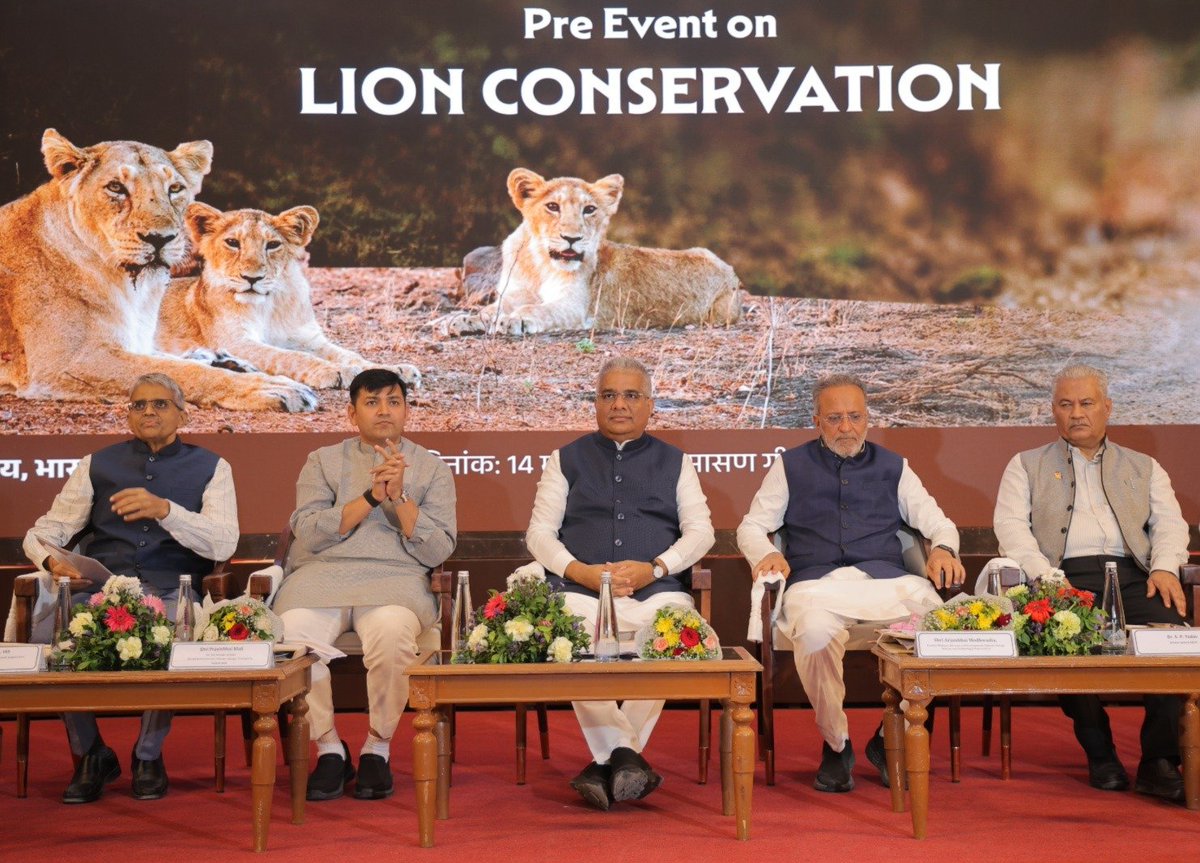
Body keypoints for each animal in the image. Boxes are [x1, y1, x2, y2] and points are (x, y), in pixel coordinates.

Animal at [0, 129, 318, 412]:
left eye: (174, 189)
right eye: (116, 187)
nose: (160, 238)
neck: (130, 287)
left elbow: (171, 362)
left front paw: (231, 363)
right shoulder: (68, 362)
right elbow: (177, 373)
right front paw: (273, 387)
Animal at [158, 202, 421, 390]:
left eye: (272, 245)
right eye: (232, 243)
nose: (252, 278)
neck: (268, 305)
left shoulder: (308, 339)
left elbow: (350, 355)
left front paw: (396, 370)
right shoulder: (234, 341)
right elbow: (289, 356)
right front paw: (335, 371)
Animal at [442, 168, 742, 336]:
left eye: (589, 209)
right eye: (552, 207)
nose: (572, 238)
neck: (540, 263)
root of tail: (727, 269)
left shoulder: (575, 307)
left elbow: (538, 310)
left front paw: (515, 320)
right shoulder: (514, 293)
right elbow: (489, 310)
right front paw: (458, 320)